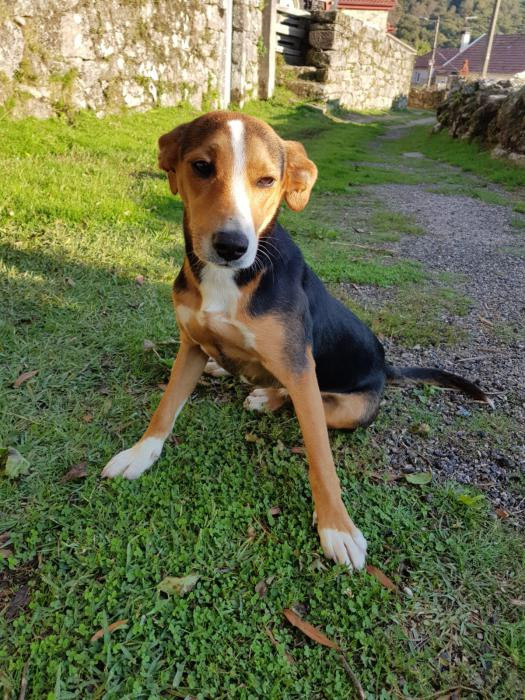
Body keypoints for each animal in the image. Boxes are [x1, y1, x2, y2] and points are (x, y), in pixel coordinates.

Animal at [102, 111, 491, 570]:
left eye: (267, 180)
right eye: (201, 167)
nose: (232, 246)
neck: (231, 280)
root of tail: (384, 365)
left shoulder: (301, 368)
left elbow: (321, 460)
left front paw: (337, 527)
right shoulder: (191, 345)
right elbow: (165, 409)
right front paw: (139, 454)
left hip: (347, 406)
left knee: (305, 400)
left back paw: (265, 395)